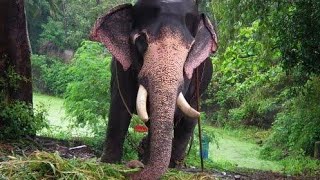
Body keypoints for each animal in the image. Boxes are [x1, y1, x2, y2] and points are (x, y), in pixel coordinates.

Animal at [90, 0, 218, 179]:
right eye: (141, 40)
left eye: (190, 48)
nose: (133, 165)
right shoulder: (121, 67)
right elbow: (119, 107)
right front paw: (108, 164)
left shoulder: (191, 74)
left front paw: (143, 162)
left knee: (188, 122)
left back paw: (174, 167)